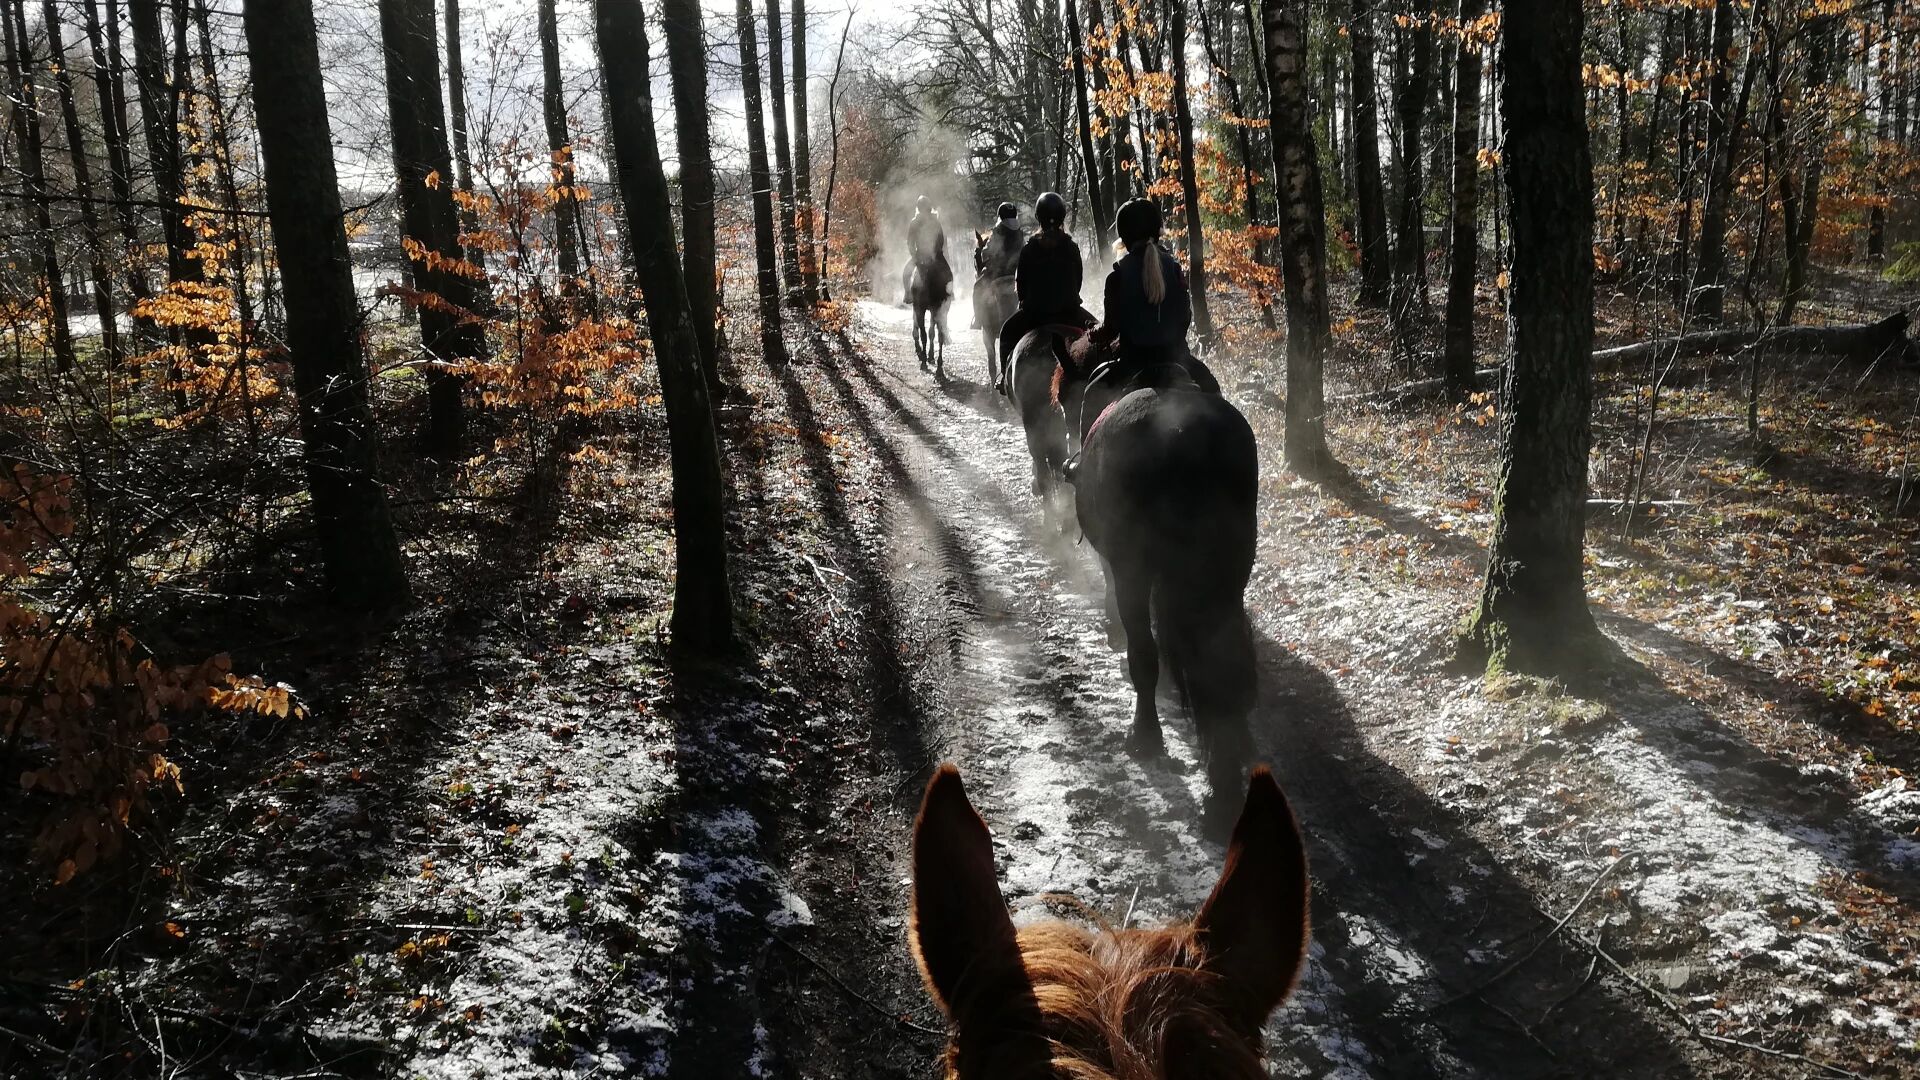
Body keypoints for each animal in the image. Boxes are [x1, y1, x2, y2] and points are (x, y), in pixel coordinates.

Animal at [910, 254, 954, 382]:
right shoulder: (922, 308)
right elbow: (926, 334)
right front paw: (925, 361)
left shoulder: (937, 310)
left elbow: (934, 334)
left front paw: (936, 367)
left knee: (931, 331)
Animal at [1066, 341, 1259, 828]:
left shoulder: (1124, 567)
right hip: (1228, 575)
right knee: (1224, 665)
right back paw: (1225, 787)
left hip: (1138, 568)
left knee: (1147, 653)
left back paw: (1146, 734)